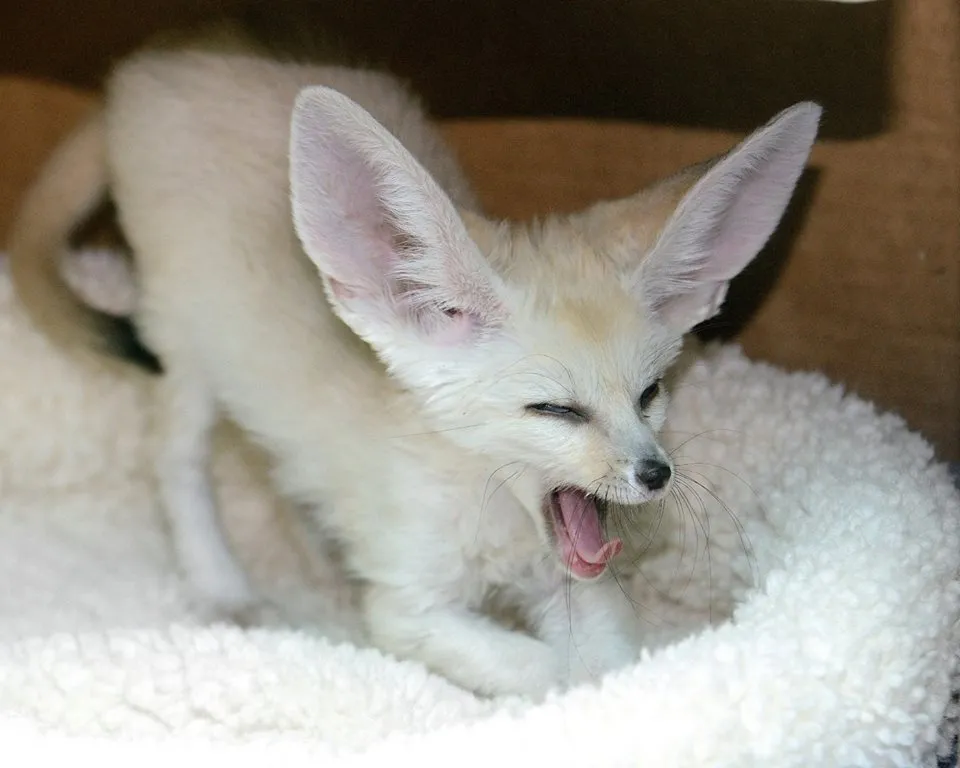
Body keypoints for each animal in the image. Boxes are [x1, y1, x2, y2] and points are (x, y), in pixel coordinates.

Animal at [6, 20, 821, 698]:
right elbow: (551, 671)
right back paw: (221, 584)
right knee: (175, 462)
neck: (493, 516)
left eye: (650, 393)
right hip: (187, 349)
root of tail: (156, 62)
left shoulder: (571, 580)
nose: (656, 474)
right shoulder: (408, 608)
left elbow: (611, 657)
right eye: (554, 410)